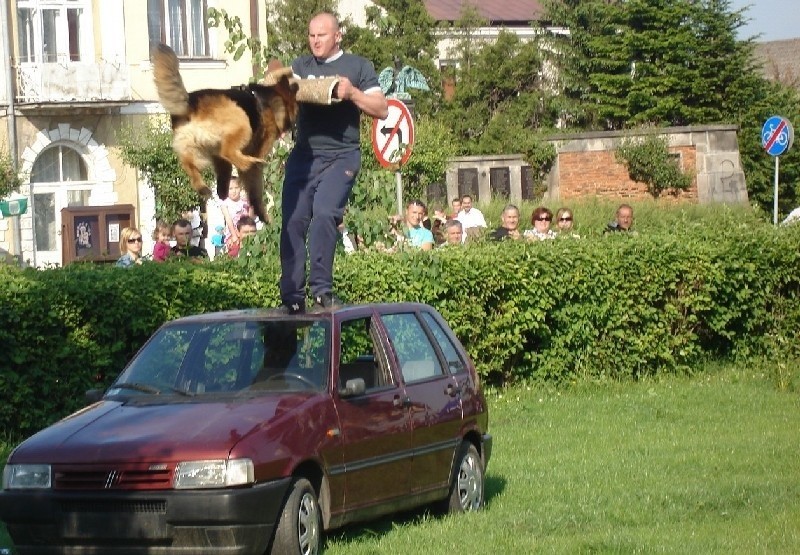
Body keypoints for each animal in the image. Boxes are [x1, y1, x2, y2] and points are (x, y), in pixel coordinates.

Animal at [151, 44, 300, 224]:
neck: (275, 99)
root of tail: (192, 103)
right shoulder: (259, 147)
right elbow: (255, 188)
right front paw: (262, 213)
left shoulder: (219, 160)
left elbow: (225, 172)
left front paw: (223, 191)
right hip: (242, 123)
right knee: (229, 152)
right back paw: (249, 162)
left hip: (193, 147)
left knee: (190, 165)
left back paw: (203, 187)